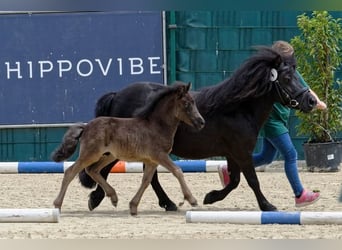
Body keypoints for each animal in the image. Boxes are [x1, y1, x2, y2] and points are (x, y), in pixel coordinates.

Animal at [79, 46, 316, 211]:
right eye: (287, 77)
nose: (312, 101)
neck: (237, 108)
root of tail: (117, 95)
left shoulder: (232, 153)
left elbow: (235, 180)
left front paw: (210, 197)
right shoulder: (242, 152)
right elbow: (252, 180)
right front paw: (267, 206)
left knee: (145, 176)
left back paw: (166, 203)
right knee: (106, 169)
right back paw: (98, 198)